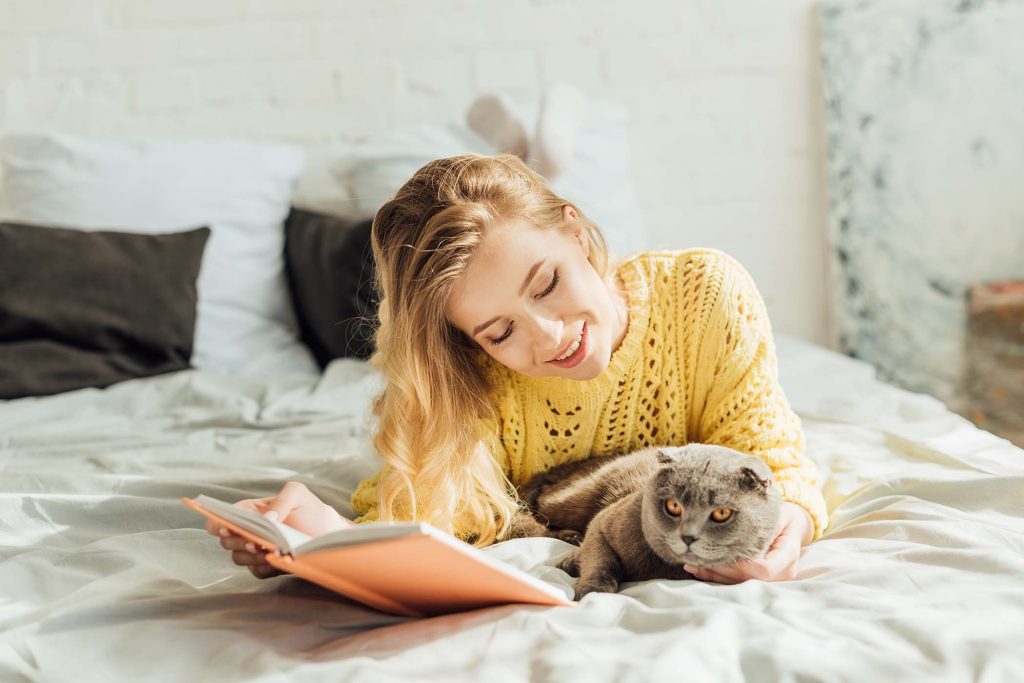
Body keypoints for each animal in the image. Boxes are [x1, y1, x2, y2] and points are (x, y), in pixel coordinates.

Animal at [516, 444, 778, 598]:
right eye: (673, 506)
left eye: (721, 513)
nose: (688, 536)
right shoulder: (602, 523)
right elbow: (602, 560)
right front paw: (593, 589)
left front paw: (574, 561)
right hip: (572, 499)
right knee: (540, 503)